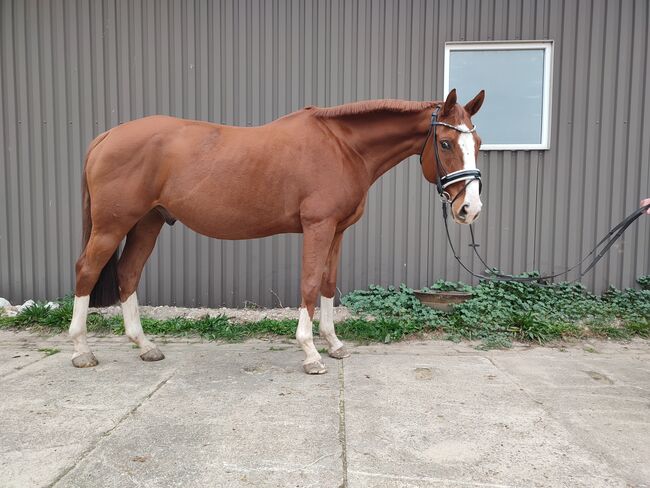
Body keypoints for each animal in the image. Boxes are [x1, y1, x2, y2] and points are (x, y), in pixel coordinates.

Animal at [69, 88, 480, 374]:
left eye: (476, 143)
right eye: (445, 143)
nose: (469, 209)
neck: (342, 146)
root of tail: (106, 137)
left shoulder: (337, 231)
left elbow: (328, 284)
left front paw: (333, 344)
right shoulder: (318, 227)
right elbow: (310, 284)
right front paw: (311, 353)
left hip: (148, 222)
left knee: (128, 274)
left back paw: (144, 346)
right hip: (112, 226)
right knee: (87, 271)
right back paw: (82, 351)